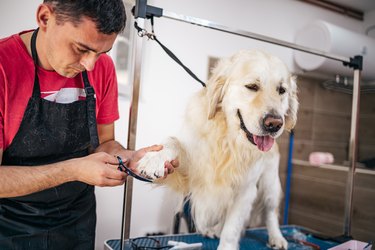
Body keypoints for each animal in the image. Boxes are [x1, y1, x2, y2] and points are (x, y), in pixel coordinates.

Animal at [137, 49, 298, 249]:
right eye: (252, 86)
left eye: (281, 90)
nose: (275, 124)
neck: (229, 140)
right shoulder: (191, 172)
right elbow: (173, 141)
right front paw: (156, 158)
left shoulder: (246, 190)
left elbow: (232, 228)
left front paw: (227, 244)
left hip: (270, 184)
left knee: (270, 213)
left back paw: (277, 237)